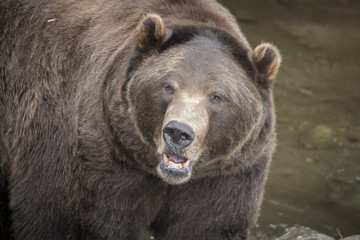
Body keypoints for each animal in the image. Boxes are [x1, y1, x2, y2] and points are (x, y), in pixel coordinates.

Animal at [0, 0, 282, 240]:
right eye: (168, 86)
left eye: (216, 96)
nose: (178, 133)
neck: (152, 169)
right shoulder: (94, 153)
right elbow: (67, 217)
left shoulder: (225, 175)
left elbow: (208, 225)